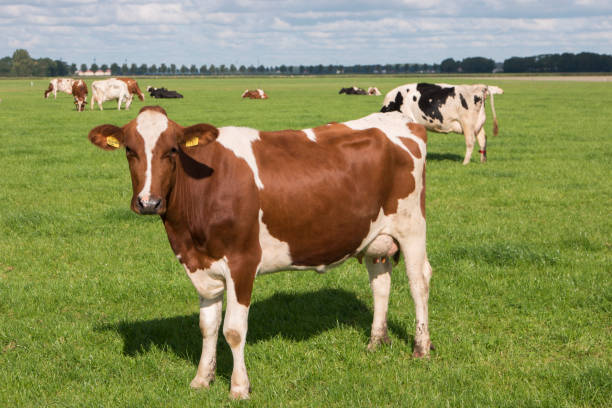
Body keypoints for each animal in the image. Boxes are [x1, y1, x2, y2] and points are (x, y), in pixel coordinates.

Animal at [88, 104, 432, 398]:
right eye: (130, 150)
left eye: (172, 150)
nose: (149, 202)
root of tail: (400, 120)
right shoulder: (200, 264)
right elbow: (207, 325)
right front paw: (202, 379)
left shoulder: (242, 263)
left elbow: (234, 330)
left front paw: (239, 387)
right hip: (375, 236)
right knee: (381, 282)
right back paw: (376, 341)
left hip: (412, 226)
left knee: (419, 282)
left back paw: (421, 348)